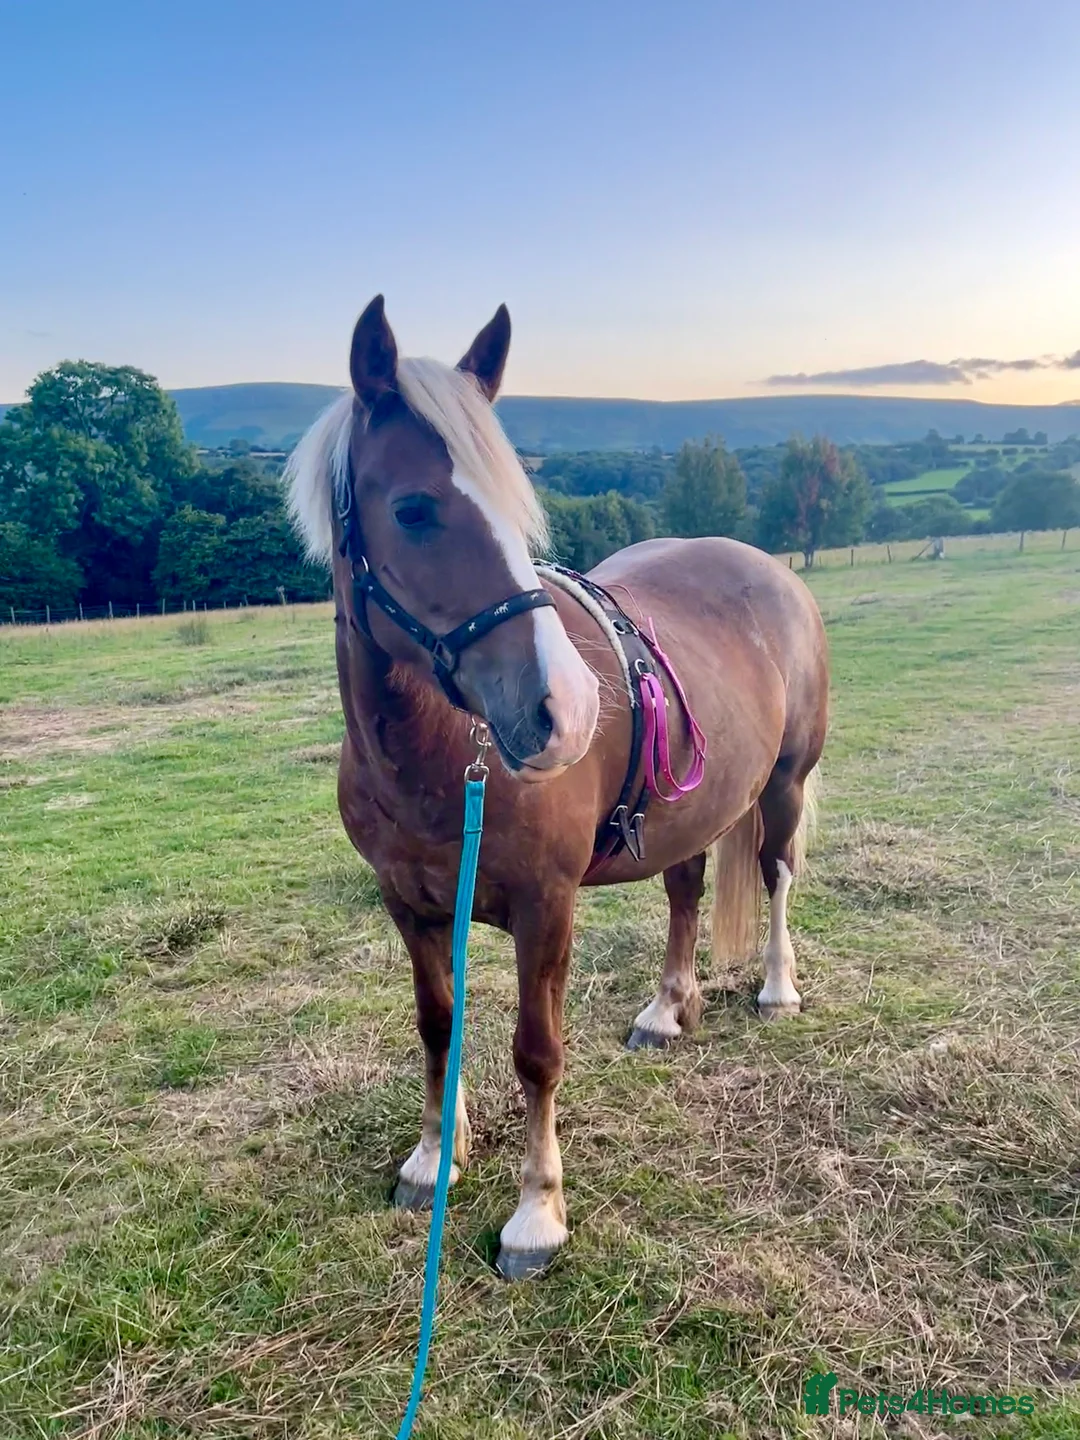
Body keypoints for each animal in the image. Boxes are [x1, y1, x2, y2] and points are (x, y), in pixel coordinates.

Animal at [285, 296, 828, 1281]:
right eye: (413, 508)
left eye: (517, 507)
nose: (565, 710)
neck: (436, 760)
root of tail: (771, 570)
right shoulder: (411, 905)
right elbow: (437, 1025)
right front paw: (435, 1156)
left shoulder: (546, 906)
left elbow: (536, 1053)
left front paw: (537, 1212)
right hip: (689, 808)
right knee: (686, 890)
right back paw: (667, 1007)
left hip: (783, 786)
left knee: (774, 876)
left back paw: (776, 987)